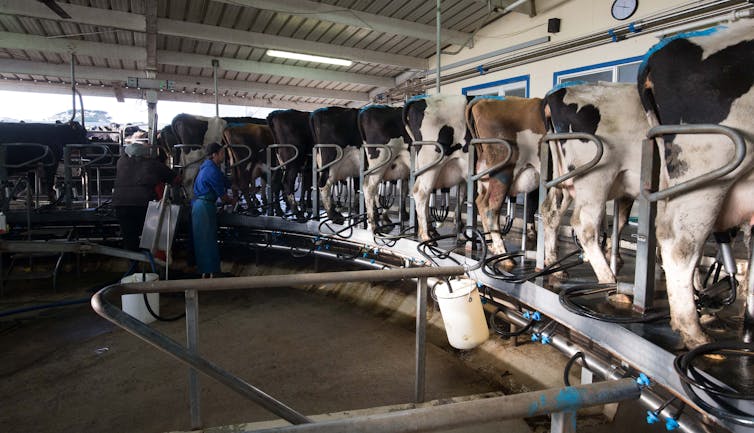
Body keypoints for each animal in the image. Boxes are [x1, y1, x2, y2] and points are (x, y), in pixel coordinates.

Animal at [462, 96, 544, 255]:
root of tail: (482, 101)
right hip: (503, 170)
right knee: (491, 207)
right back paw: (503, 252)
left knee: (480, 201)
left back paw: (491, 245)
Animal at [540, 82, 648, 286]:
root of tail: (553, 95)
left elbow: (622, 220)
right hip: (595, 178)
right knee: (583, 224)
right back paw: (608, 279)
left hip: (565, 177)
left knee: (550, 211)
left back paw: (556, 267)